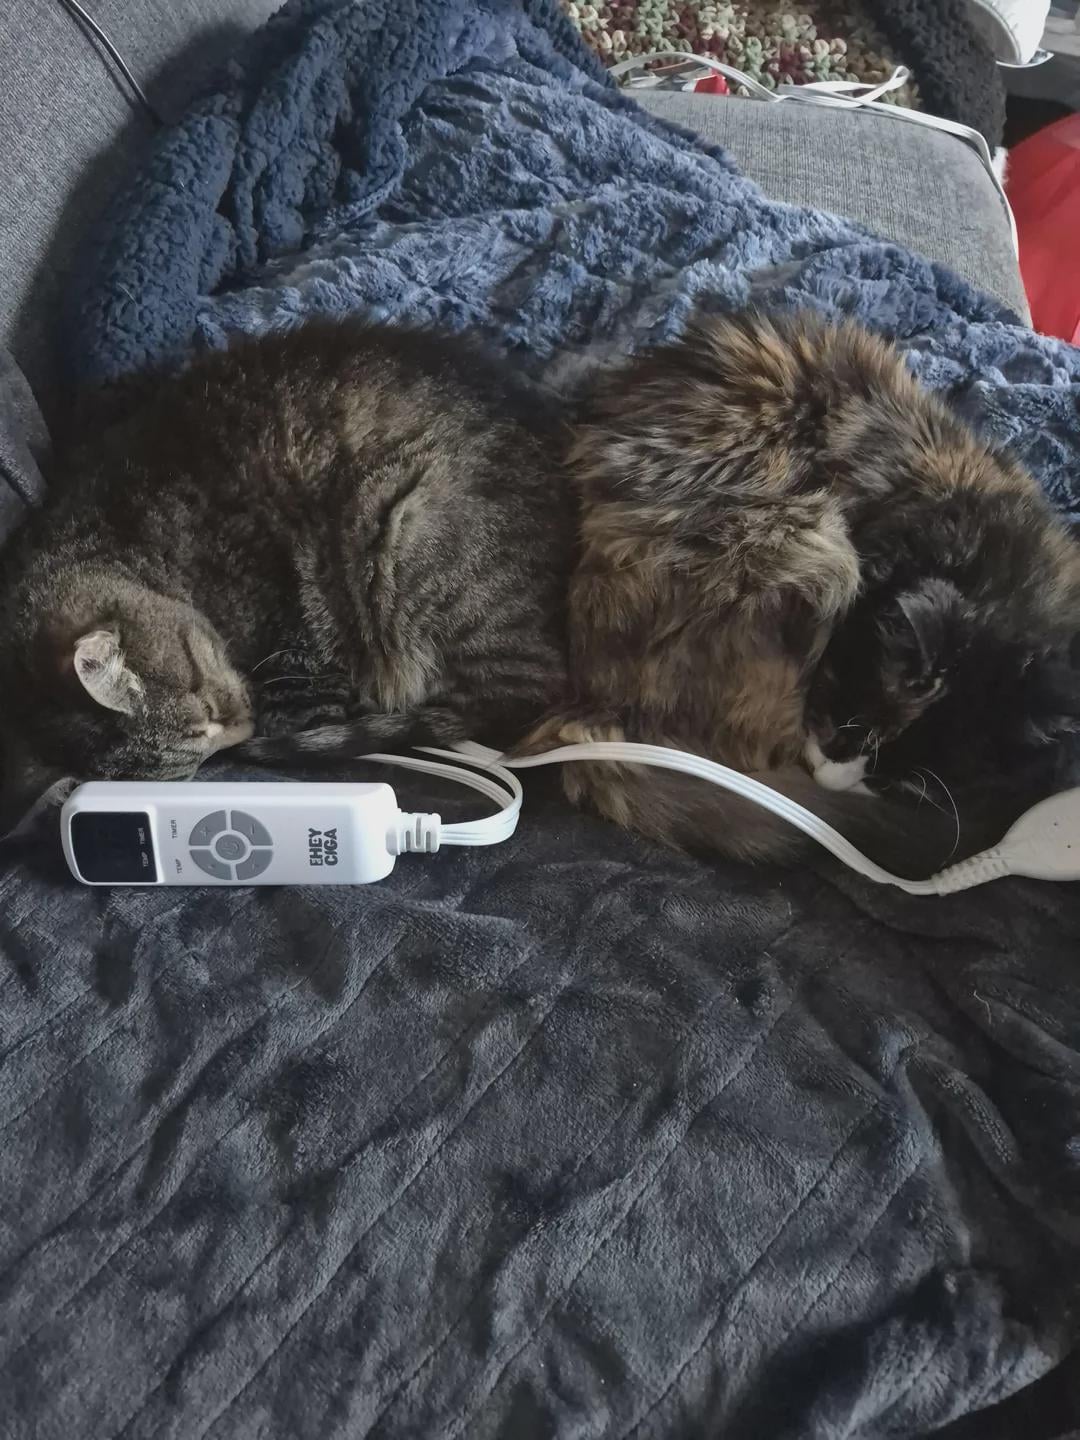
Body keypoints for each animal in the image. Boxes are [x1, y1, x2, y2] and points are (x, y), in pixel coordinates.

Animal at [0, 319, 574, 815]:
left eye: (209, 715)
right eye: (197, 759)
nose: (242, 736)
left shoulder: (292, 616)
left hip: (410, 531)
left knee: (507, 695)